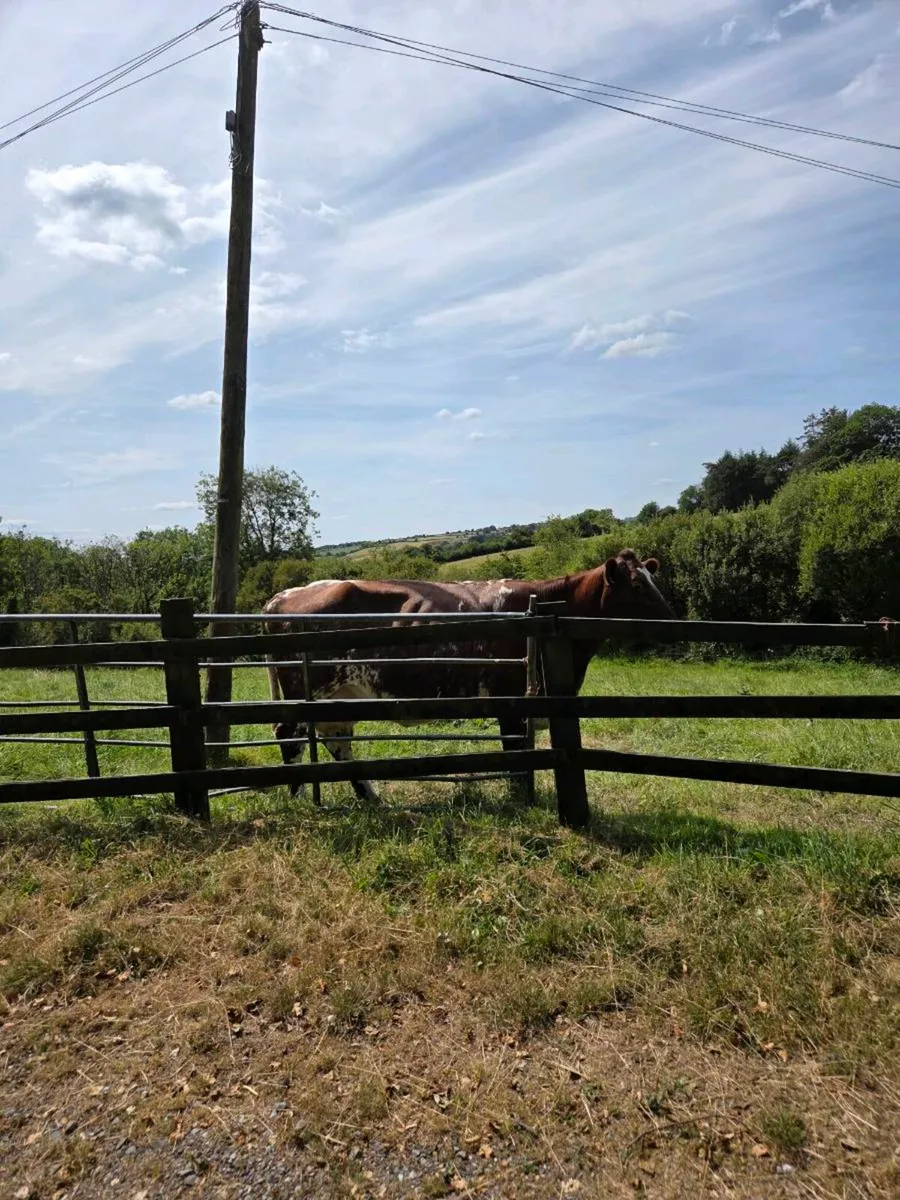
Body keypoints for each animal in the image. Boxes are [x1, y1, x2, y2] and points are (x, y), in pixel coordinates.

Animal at [262, 548, 676, 803]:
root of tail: (282, 596)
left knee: (337, 741)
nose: (673, 620)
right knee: (289, 735)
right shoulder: (512, 703)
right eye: (637, 586)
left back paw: (371, 797)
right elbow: (515, 755)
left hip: (341, 694)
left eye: (651, 579)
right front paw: (520, 799)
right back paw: (298, 796)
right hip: (306, 691)